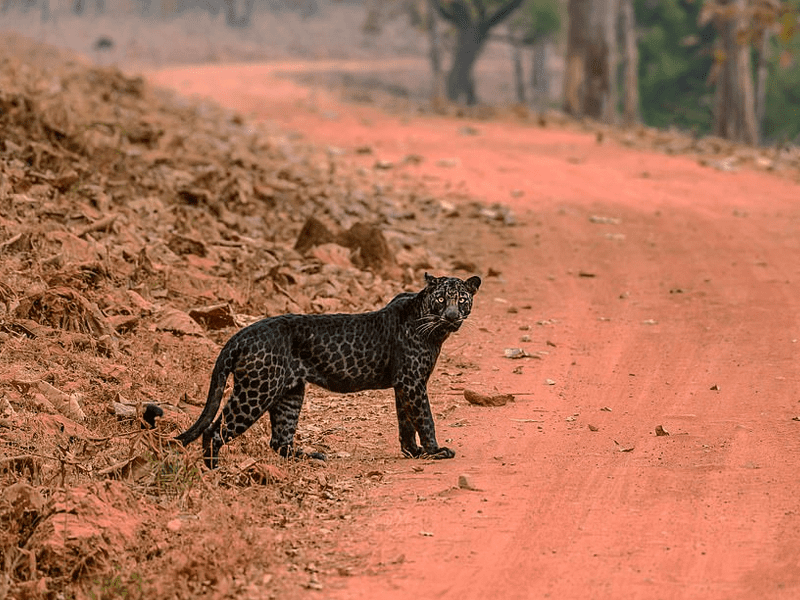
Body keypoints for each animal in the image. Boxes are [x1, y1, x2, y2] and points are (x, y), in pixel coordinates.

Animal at [177, 274, 482, 468]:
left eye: (462, 300)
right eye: (441, 300)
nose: (452, 316)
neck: (434, 328)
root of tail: (241, 335)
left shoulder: (404, 385)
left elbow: (406, 420)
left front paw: (414, 451)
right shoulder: (412, 382)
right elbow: (424, 417)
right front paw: (434, 451)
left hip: (290, 393)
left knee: (279, 440)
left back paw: (313, 457)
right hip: (257, 391)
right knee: (215, 430)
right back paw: (215, 470)